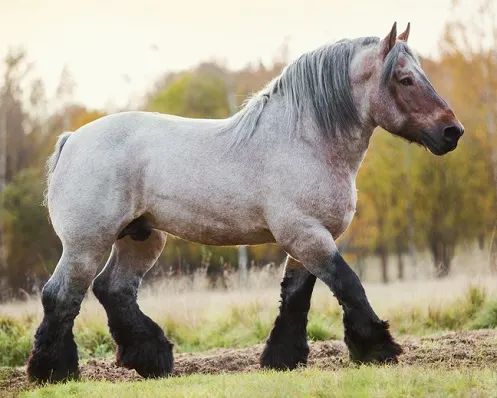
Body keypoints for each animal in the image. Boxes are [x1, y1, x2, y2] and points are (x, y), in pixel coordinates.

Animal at [27, 22, 464, 382]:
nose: (452, 132)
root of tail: (72, 140)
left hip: (141, 238)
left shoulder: (305, 239)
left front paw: (281, 358)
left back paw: (152, 359)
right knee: (61, 296)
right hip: (87, 244)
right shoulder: (306, 234)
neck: (304, 140)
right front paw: (377, 348)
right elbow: (348, 284)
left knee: (113, 290)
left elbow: (295, 296)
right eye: (405, 79)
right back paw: (54, 372)